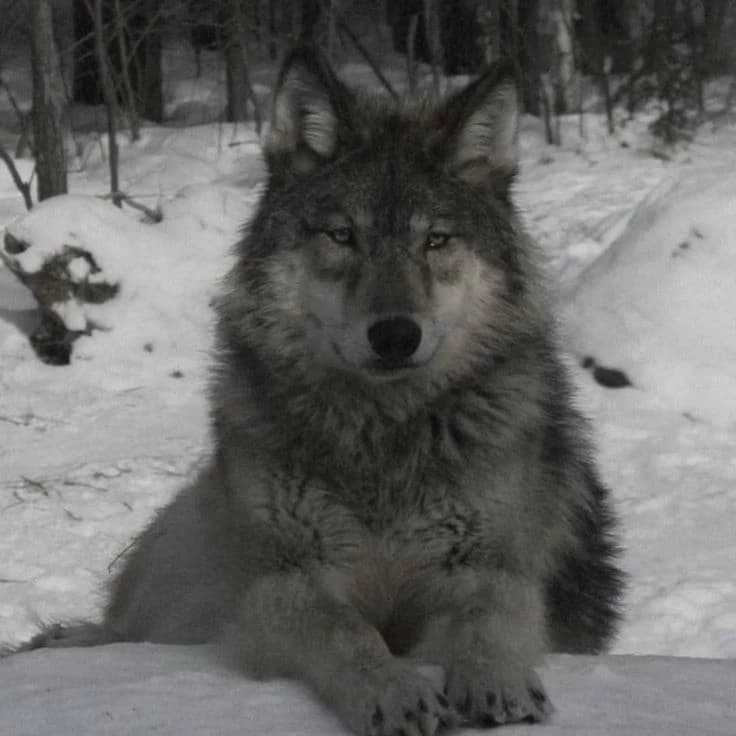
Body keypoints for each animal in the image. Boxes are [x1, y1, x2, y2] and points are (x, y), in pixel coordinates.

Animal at [16, 49, 624, 735]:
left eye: (436, 240)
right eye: (342, 236)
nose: (395, 334)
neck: (384, 438)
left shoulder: (490, 567)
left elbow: (489, 617)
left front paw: (496, 682)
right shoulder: (284, 584)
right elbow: (348, 633)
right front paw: (394, 689)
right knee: (128, 629)